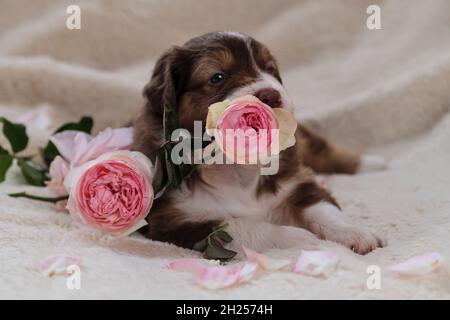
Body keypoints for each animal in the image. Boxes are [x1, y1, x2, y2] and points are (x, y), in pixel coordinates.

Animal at [133, 31, 386, 254]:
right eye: (218, 77)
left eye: (271, 70)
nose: (271, 95)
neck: (238, 166)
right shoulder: (176, 222)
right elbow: (242, 226)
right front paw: (298, 238)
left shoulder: (297, 183)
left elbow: (324, 208)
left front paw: (355, 232)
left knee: (322, 149)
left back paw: (374, 163)